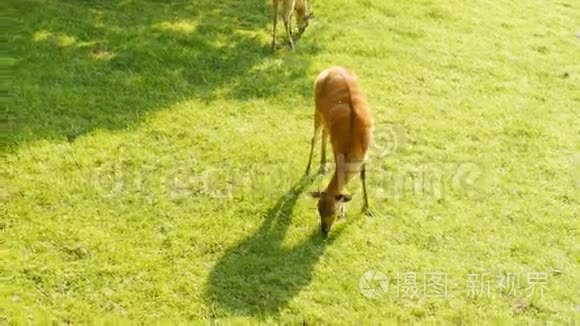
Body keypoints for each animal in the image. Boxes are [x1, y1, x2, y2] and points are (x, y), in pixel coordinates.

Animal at [306, 67, 374, 234]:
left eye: (333, 211)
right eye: (318, 209)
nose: (324, 230)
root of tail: (330, 68)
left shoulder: (366, 153)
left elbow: (363, 176)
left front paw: (367, 209)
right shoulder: (337, 147)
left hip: (325, 118)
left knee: (323, 134)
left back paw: (322, 166)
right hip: (317, 107)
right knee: (315, 137)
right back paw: (308, 169)